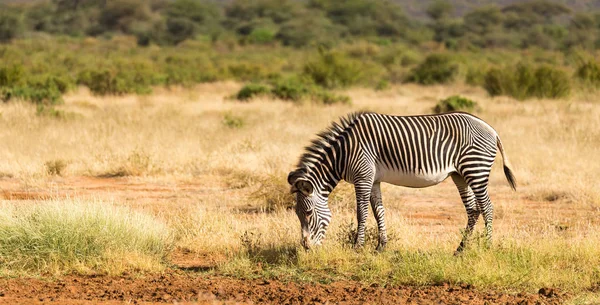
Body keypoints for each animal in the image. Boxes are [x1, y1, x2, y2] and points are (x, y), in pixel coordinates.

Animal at [288, 110, 516, 253]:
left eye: (308, 213)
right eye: (297, 214)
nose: (306, 248)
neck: (343, 153)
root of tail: (491, 129)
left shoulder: (363, 178)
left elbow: (361, 213)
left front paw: (357, 247)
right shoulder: (374, 180)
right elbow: (378, 212)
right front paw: (381, 247)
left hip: (475, 169)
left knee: (487, 207)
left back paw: (487, 246)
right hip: (460, 175)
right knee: (473, 209)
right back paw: (460, 249)